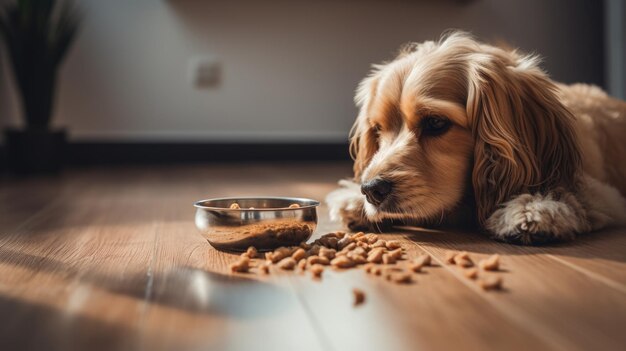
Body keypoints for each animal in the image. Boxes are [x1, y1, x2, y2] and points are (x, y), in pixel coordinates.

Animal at [326, 31, 624, 245]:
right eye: (377, 129)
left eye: (435, 123)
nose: (371, 190)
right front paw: (353, 199)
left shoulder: (604, 192)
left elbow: (576, 194)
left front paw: (534, 206)